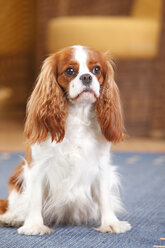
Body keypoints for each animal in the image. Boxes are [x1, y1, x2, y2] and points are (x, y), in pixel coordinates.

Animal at [0, 46, 131, 234]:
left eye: (96, 69)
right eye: (70, 71)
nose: (86, 77)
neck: (77, 115)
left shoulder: (101, 165)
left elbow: (104, 196)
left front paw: (110, 222)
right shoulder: (37, 166)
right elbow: (34, 198)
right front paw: (34, 225)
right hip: (18, 178)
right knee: (8, 205)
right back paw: (13, 218)